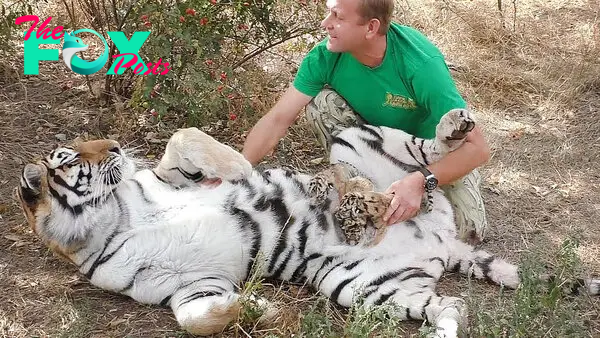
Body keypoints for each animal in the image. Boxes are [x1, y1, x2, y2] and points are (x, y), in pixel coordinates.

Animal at [16, 109, 596, 336]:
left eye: (88, 146)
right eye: (73, 157)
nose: (114, 145)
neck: (113, 219)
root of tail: (445, 240)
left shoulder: (171, 177)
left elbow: (186, 141)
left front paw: (243, 171)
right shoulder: (186, 285)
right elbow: (195, 318)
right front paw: (258, 307)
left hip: (358, 140)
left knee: (426, 158)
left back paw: (448, 130)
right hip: (367, 288)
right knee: (451, 306)